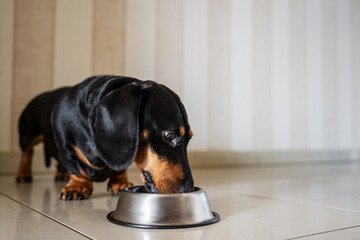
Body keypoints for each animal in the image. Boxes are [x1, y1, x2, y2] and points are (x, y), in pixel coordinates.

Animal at [16, 76, 194, 200]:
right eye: (170, 135)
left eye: (189, 139)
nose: (188, 190)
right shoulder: (66, 147)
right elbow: (76, 168)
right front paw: (77, 186)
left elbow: (120, 168)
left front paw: (120, 182)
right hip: (27, 134)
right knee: (27, 152)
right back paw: (24, 173)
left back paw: (60, 174)